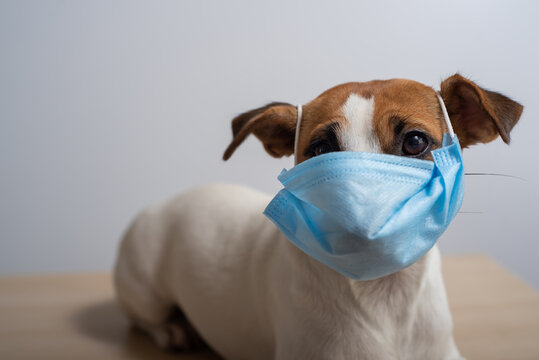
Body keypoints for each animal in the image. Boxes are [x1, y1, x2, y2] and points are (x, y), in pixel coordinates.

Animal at [114, 74, 524, 358]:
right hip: (145, 286)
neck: (381, 293)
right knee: (141, 315)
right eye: (321, 149)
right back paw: (172, 329)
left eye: (415, 141)